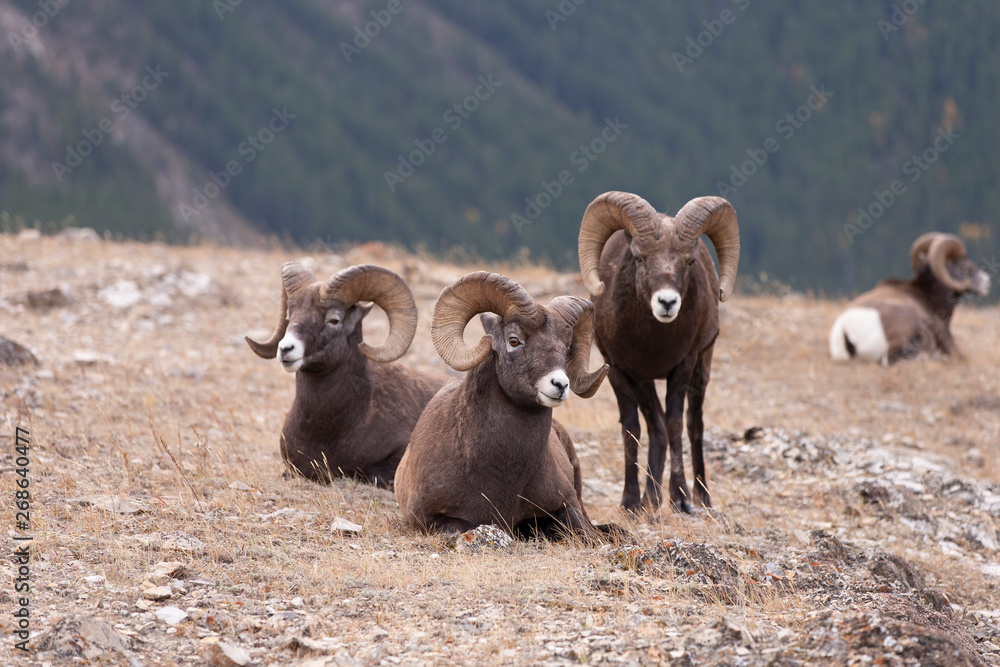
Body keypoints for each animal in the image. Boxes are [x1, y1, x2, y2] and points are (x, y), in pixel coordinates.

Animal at [577, 191, 741, 513]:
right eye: (639, 257)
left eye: (689, 261)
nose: (667, 302)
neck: (652, 343)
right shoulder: (622, 371)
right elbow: (633, 430)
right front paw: (629, 502)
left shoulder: (683, 366)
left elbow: (676, 424)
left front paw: (680, 498)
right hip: (647, 383)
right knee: (657, 429)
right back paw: (650, 500)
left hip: (702, 368)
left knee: (693, 425)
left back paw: (700, 497)